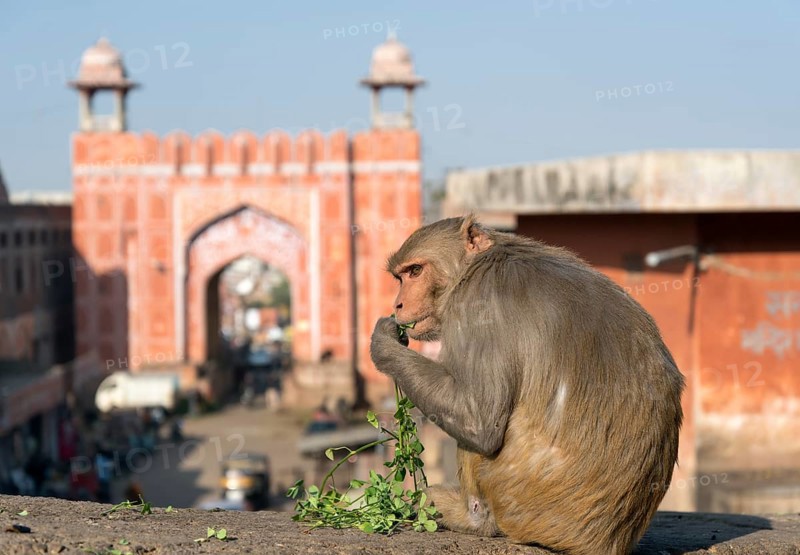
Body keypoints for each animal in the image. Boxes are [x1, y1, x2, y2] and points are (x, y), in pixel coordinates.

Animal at [370, 215, 684, 555]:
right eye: (401, 277)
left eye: (415, 271)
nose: (398, 304)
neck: (478, 263)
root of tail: (604, 541)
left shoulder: (479, 302)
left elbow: (478, 422)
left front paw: (384, 344)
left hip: (509, 494)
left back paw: (471, 518)